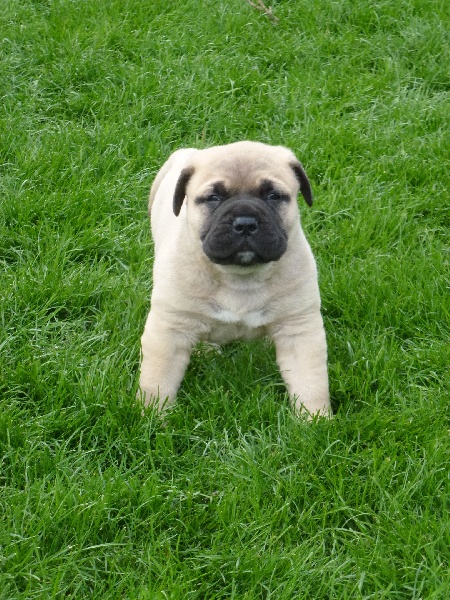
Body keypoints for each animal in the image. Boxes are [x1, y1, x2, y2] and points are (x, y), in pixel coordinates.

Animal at [139, 143, 332, 420]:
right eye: (213, 198)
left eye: (273, 196)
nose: (245, 223)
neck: (241, 277)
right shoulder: (169, 330)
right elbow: (158, 380)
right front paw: (153, 418)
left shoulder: (299, 329)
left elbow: (310, 383)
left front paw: (315, 421)